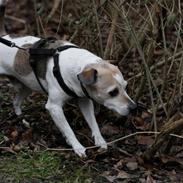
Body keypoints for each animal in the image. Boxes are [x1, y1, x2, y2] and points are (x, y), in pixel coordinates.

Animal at [0, 0, 136, 157]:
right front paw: (77, 147)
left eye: (125, 87)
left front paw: (100, 140)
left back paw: (21, 119)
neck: (79, 67)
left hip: (27, 86)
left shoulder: (84, 101)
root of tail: (4, 37)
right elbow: (69, 130)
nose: (134, 108)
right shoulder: (54, 107)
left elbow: (93, 122)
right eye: (113, 92)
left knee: (16, 102)